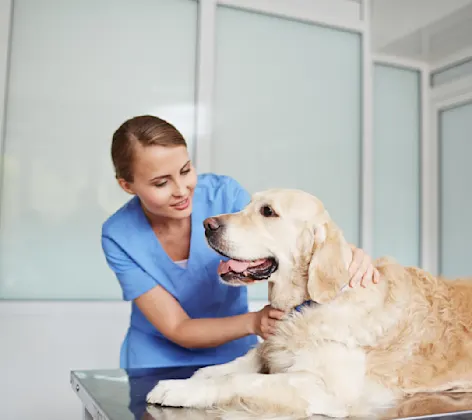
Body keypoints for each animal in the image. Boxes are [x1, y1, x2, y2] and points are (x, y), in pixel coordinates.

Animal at [146, 189, 472, 416]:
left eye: (267, 211)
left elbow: (238, 381)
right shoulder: (270, 346)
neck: (306, 305)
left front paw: (177, 389)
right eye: (247, 205)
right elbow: (228, 366)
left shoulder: (326, 388)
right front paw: (192, 378)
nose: (207, 224)